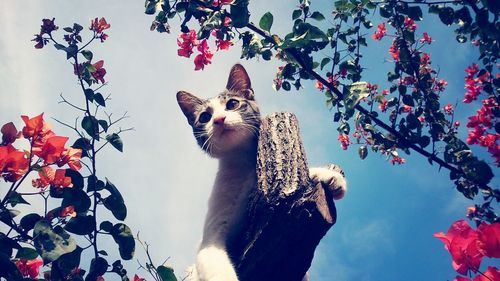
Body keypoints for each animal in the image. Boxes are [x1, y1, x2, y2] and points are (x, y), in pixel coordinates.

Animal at [177, 64, 348, 280]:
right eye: (205, 117)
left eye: (232, 104)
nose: (219, 119)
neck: (244, 165)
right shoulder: (210, 240)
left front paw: (328, 176)